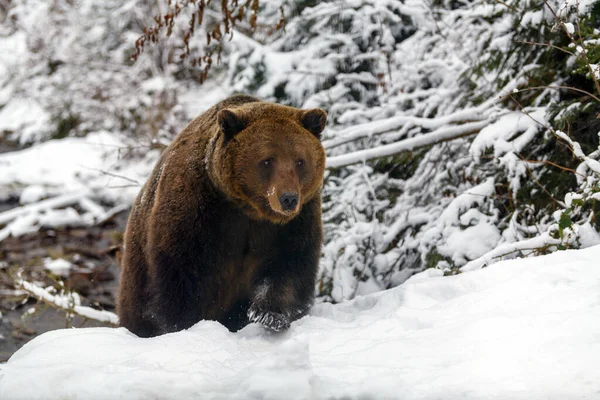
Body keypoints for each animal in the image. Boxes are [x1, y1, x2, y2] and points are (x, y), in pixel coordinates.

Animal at [115, 95, 326, 336]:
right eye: (267, 160)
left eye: (300, 161)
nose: (288, 198)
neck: (248, 208)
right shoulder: (200, 213)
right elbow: (181, 275)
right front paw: (184, 325)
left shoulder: (295, 221)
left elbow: (290, 264)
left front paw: (270, 314)